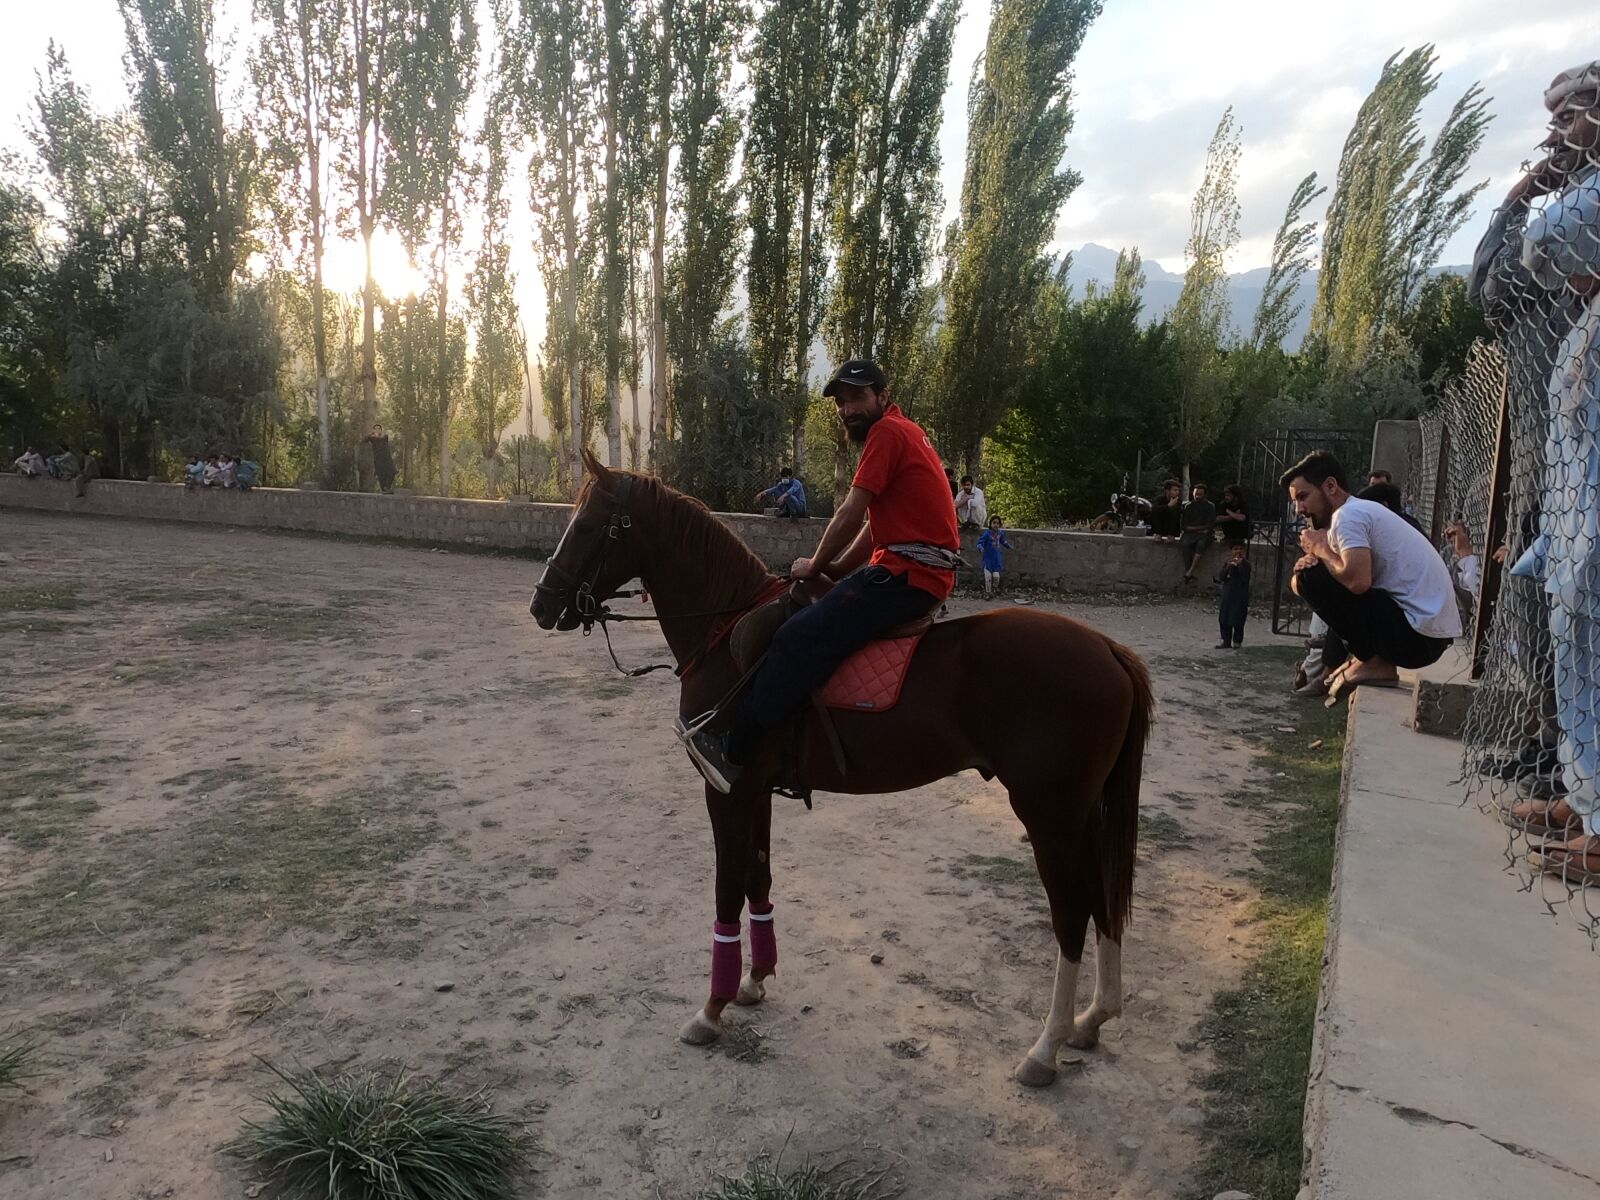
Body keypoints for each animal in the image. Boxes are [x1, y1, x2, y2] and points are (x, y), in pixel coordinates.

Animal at [530, 451, 1155, 1087]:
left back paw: (1046, 1046)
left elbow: (727, 890)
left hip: (1049, 814)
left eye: (587, 525)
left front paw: (712, 1008)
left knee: (1072, 913)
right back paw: (1092, 1018)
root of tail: (1109, 650)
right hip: (1081, 814)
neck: (726, 635)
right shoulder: (755, 790)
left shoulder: (724, 792)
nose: (541, 604)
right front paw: (754, 980)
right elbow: (758, 879)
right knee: (1102, 899)